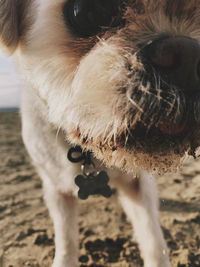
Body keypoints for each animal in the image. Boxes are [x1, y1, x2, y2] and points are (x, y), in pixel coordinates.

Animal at [0, 0, 199, 266]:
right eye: (87, 11)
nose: (188, 56)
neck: (91, 151)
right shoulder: (56, 188)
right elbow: (66, 238)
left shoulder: (139, 184)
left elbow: (152, 237)